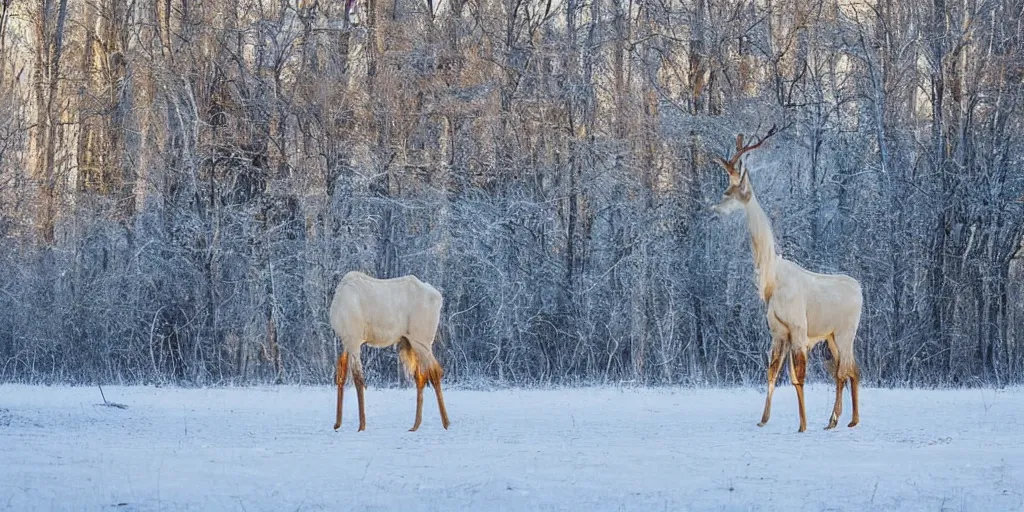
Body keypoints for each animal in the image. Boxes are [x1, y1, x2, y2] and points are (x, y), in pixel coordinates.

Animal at [329, 272, 450, 432]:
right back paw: (415, 424)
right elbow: (341, 376)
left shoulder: (353, 340)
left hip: (422, 340)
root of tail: (439, 298)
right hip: (409, 342)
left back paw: (446, 422)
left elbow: (358, 379)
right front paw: (337, 423)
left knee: (434, 372)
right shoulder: (346, 343)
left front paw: (361, 425)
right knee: (420, 377)